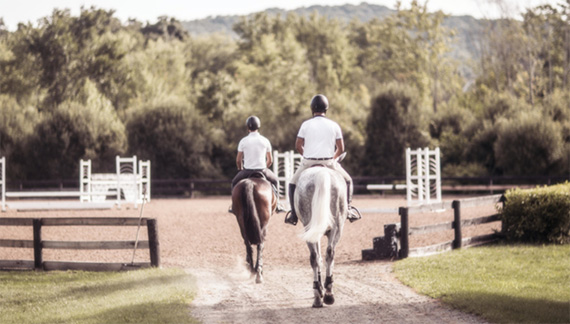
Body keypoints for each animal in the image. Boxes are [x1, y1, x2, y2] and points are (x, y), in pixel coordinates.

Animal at [292, 166, 346, 308]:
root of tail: (321, 173)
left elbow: (320, 258)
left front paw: (322, 289)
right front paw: (324, 288)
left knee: (318, 256)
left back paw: (320, 295)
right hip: (337, 227)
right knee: (327, 254)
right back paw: (326, 294)